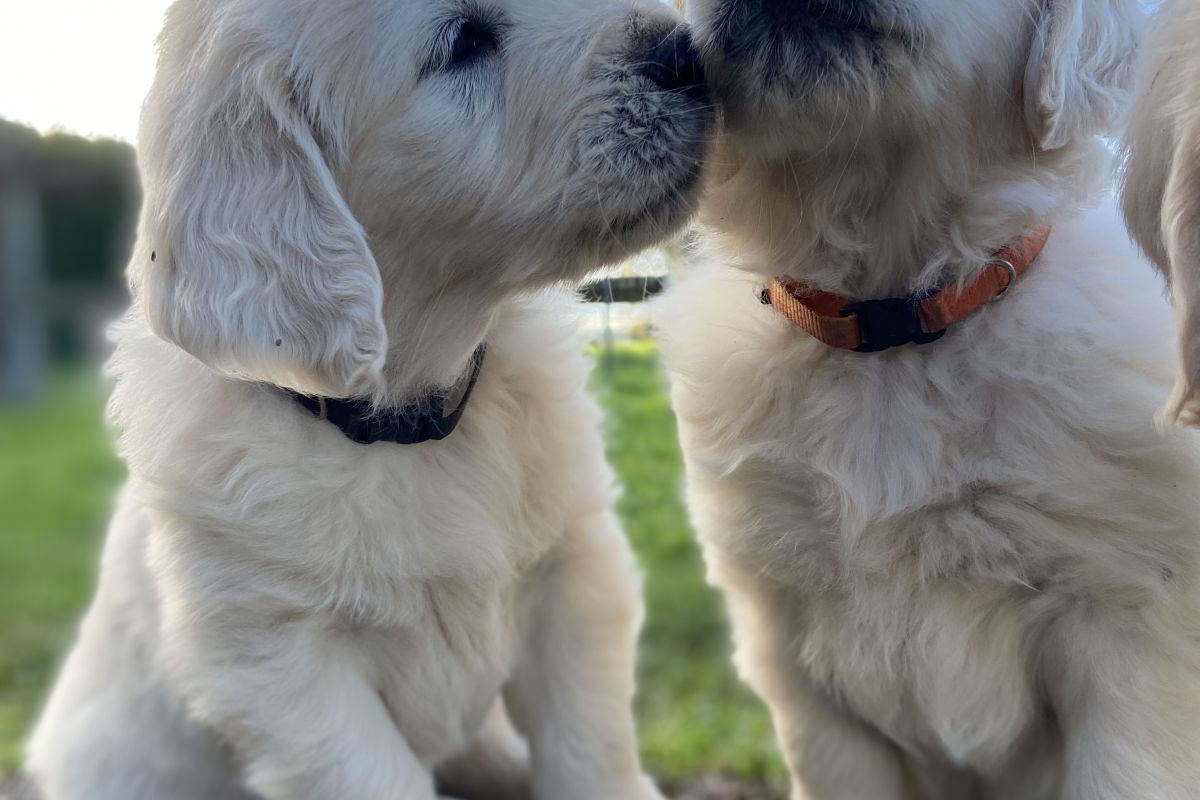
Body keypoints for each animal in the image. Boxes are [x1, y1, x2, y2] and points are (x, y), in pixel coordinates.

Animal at [25, 1, 710, 800]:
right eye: (461, 42)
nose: (685, 51)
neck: (404, 422)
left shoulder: (576, 571)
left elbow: (590, 746)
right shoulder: (280, 664)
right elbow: (382, 776)